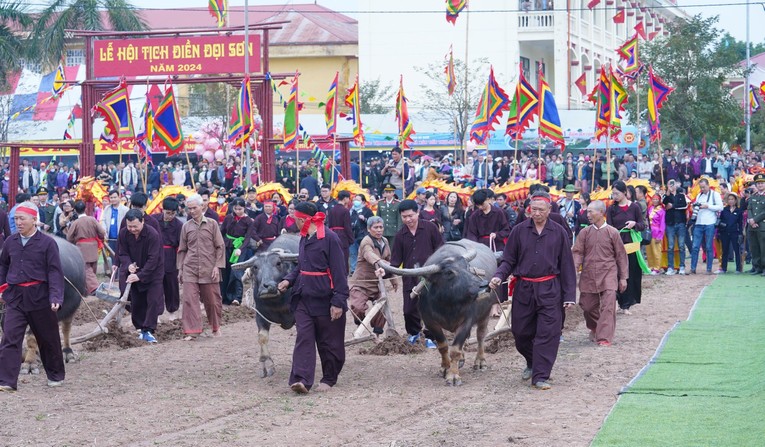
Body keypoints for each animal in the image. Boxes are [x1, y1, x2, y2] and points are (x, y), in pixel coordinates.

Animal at [230, 234, 298, 378]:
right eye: (255, 267)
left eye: (278, 263)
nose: (268, 286)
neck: (278, 302)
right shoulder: (260, 315)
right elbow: (262, 337)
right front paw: (266, 364)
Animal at [380, 240, 498, 386]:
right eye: (449, 273)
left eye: (467, 266)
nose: (484, 285)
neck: (448, 304)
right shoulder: (430, 322)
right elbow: (443, 346)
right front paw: (445, 368)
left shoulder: (467, 321)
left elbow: (455, 349)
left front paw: (453, 376)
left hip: (486, 312)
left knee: (481, 335)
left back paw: (480, 362)